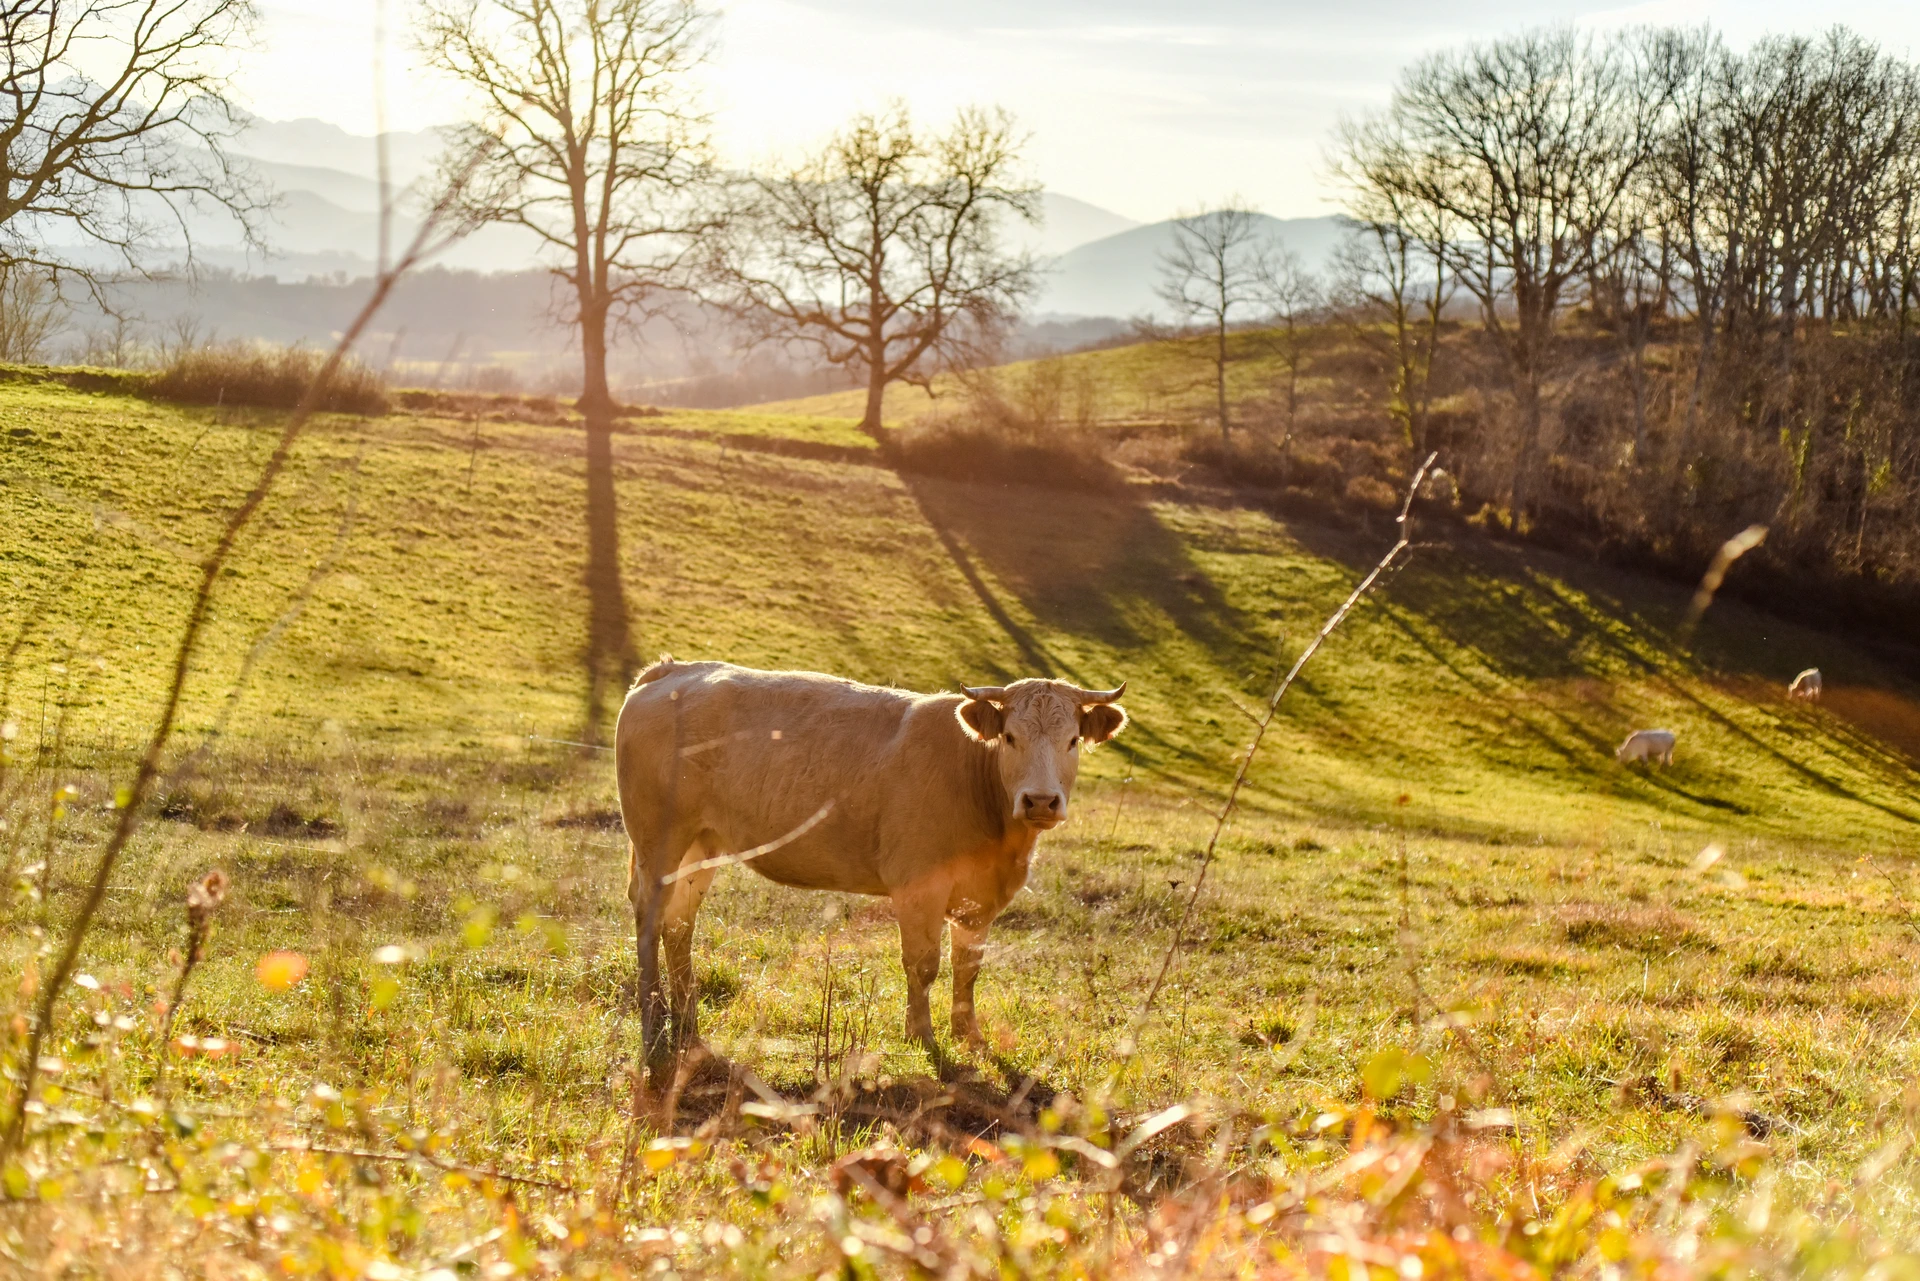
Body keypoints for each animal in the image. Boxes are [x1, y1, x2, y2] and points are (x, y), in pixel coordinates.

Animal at [614, 660, 1121, 1075]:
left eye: (1072, 740)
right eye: (1011, 737)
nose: (1040, 801)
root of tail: (674, 670)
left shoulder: (982, 898)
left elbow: (968, 966)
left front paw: (969, 1038)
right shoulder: (918, 886)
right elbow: (924, 965)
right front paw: (922, 1037)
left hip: (701, 844)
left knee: (680, 922)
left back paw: (688, 1020)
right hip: (658, 837)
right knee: (650, 916)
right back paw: (653, 1013)